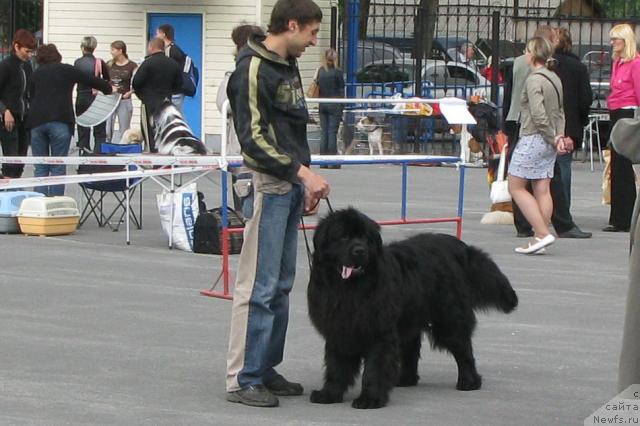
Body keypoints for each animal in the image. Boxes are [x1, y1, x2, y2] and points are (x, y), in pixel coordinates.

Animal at [308, 208, 516, 408]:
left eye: (366, 239)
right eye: (343, 236)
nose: (360, 250)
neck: (349, 290)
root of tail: (457, 246)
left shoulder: (379, 332)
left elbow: (374, 368)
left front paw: (370, 399)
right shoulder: (338, 329)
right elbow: (336, 366)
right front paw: (329, 394)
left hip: (447, 319)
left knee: (463, 348)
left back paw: (469, 382)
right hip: (410, 316)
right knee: (411, 349)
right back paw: (405, 379)